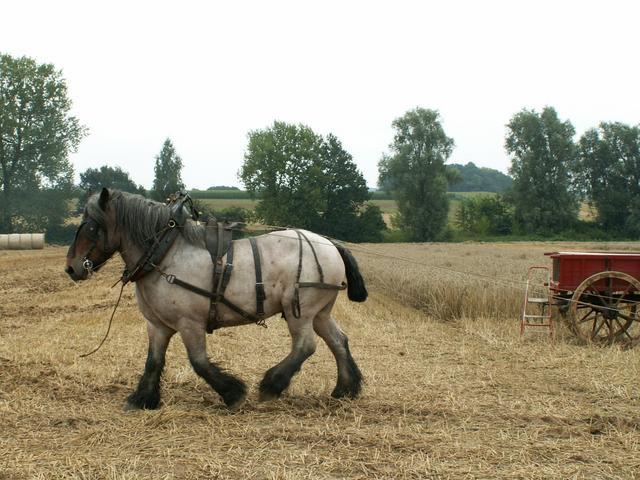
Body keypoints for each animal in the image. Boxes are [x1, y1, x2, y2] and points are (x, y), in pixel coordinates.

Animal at [65, 189, 368, 410]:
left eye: (90, 227)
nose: (71, 267)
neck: (164, 253)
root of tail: (331, 244)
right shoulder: (157, 325)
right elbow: (153, 361)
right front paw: (142, 399)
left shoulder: (190, 323)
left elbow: (198, 361)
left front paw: (233, 393)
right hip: (320, 312)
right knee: (338, 341)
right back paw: (344, 389)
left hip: (300, 311)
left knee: (305, 346)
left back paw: (271, 385)